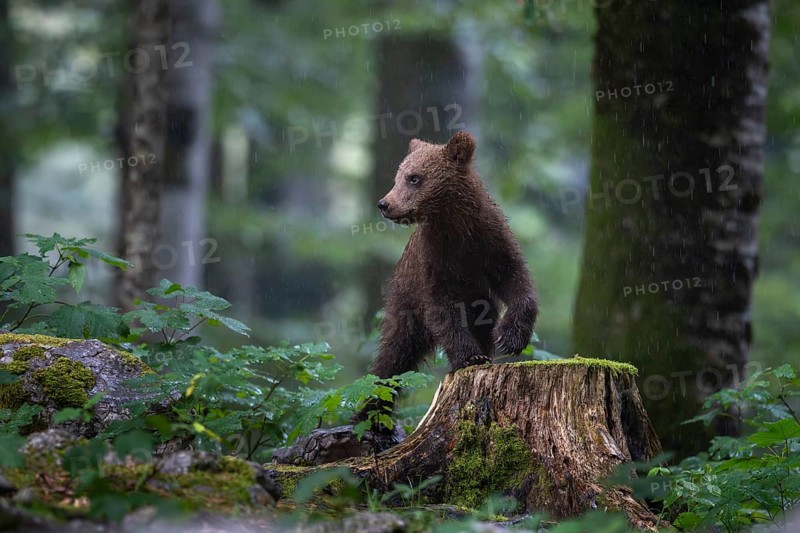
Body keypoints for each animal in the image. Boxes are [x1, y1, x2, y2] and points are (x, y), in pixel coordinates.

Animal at [363, 130, 538, 411]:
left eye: (414, 178)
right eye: (398, 177)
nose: (384, 203)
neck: (456, 227)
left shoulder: (491, 243)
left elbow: (516, 281)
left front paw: (509, 338)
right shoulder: (434, 261)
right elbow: (442, 310)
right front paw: (470, 356)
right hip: (404, 301)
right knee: (394, 355)